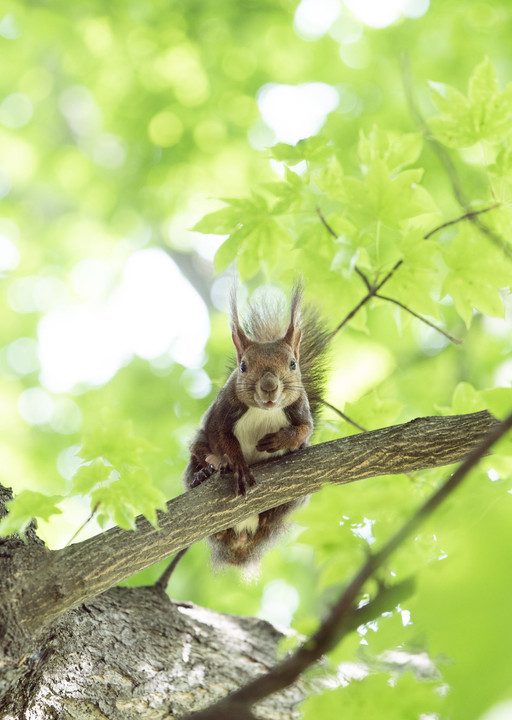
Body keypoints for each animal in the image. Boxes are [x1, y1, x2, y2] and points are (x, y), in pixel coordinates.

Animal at [182, 282, 330, 568]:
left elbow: (305, 430)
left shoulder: (301, 410)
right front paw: (237, 464)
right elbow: (221, 438)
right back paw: (203, 473)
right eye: (243, 366)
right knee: (201, 453)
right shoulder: (221, 412)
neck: (264, 411)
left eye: (293, 364)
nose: (269, 386)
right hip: (197, 449)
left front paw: (282, 440)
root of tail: (243, 534)